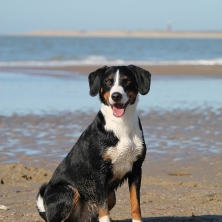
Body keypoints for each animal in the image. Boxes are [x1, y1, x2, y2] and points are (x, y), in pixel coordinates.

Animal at [36, 65, 151, 221]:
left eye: (127, 81)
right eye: (108, 81)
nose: (116, 96)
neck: (122, 125)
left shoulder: (136, 169)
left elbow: (135, 203)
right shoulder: (99, 172)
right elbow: (103, 208)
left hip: (111, 195)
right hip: (69, 191)